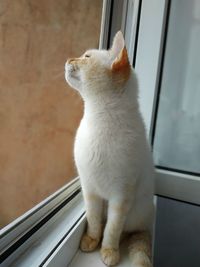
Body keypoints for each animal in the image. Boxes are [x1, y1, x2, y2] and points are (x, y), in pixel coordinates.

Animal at [65, 31, 155, 267]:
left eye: (86, 57)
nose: (68, 59)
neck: (99, 118)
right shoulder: (90, 190)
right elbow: (94, 221)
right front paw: (91, 241)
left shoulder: (121, 197)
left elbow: (112, 230)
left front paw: (108, 251)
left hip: (136, 211)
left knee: (129, 232)